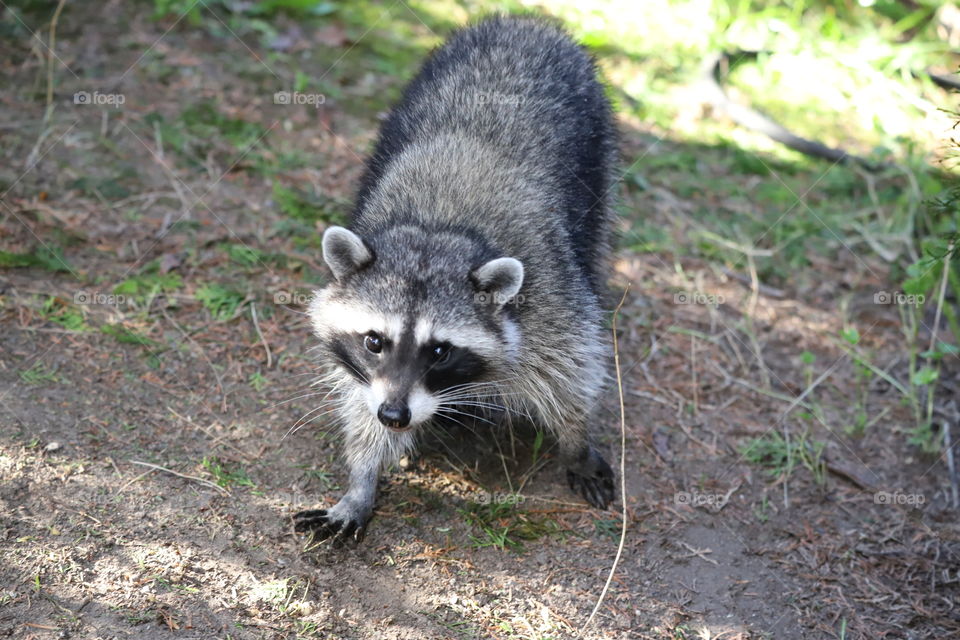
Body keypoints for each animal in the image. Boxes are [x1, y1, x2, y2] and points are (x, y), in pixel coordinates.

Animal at [292, 15, 620, 544]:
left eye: (440, 351)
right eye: (374, 341)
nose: (395, 416)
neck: (436, 232)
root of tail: (526, 23)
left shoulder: (550, 296)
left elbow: (572, 370)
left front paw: (576, 439)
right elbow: (359, 403)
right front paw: (362, 480)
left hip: (598, 157)